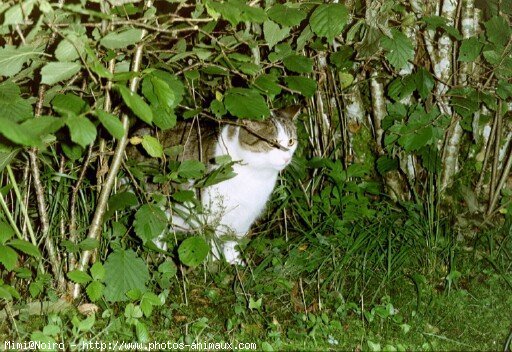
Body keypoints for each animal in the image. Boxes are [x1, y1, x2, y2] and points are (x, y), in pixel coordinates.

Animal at [127, 106, 300, 266]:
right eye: (272, 143)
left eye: (291, 141)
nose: (286, 158)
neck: (255, 175)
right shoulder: (212, 213)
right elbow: (212, 240)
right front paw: (215, 264)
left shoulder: (246, 214)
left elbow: (232, 241)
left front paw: (233, 262)